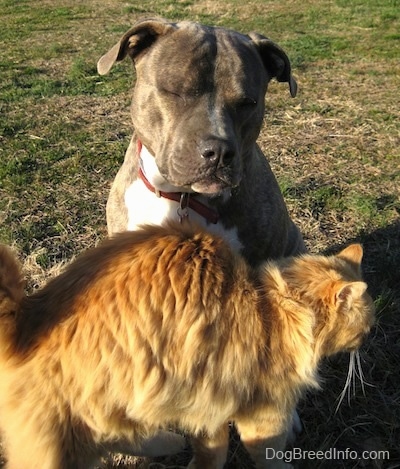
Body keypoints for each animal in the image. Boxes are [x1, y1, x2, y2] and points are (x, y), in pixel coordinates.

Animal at [0, 223, 376, 468]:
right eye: (366, 328)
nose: (366, 340)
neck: (273, 307)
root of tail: (25, 320)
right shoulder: (264, 413)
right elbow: (266, 454)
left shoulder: (208, 406)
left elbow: (211, 451)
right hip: (67, 439)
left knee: (116, 435)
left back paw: (168, 442)